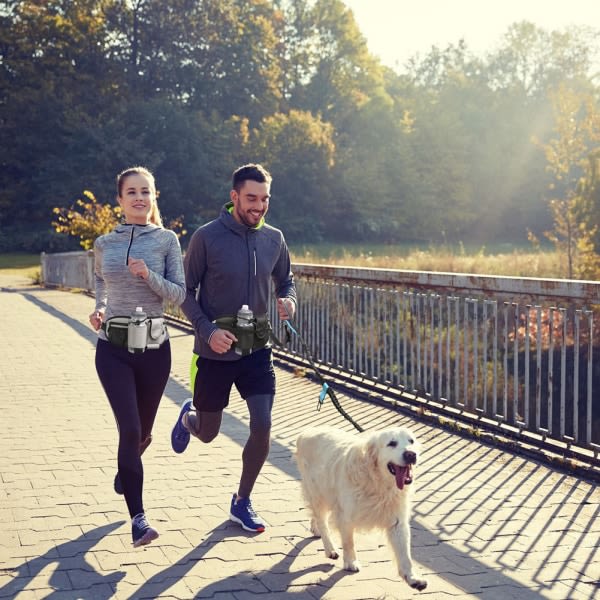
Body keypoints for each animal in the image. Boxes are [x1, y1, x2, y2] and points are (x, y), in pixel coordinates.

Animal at [294, 426, 426, 592]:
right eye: (391, 443)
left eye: (411, 441)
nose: (411, 454)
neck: (379, 484)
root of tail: (307, 431)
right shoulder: (346, 515)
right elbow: (349, 542)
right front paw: (351, 563)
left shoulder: (397, 521)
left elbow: (405, 553)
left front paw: (413, 578)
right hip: (317, 493)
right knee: (322, 521)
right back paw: (330, 549)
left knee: (316, 516)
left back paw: (315, 529)